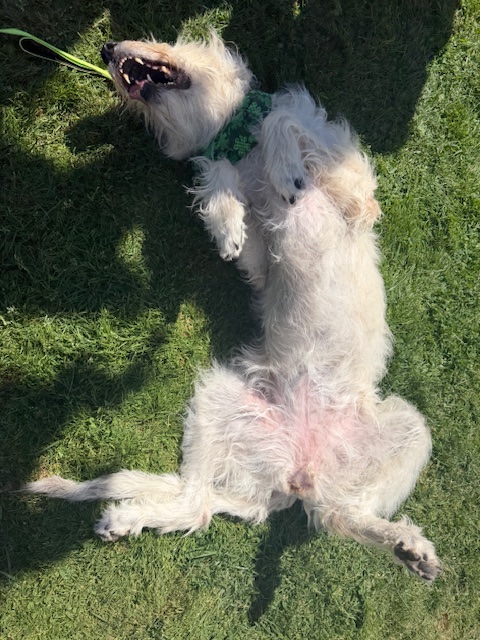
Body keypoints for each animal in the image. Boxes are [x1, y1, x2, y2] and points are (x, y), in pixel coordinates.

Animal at [24, 34, 441, 581]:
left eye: (160, 37)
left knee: (332, 513)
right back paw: (124, 519)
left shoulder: (357, 196)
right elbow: (220, 179)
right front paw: (224, 217)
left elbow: (280, 121)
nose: (107, 47)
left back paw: (405, 545)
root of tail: (296, 471)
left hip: (410, 430)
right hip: (218, 402)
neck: (239, 141)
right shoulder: (260, 260)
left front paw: (281, 172)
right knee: (199, 504)